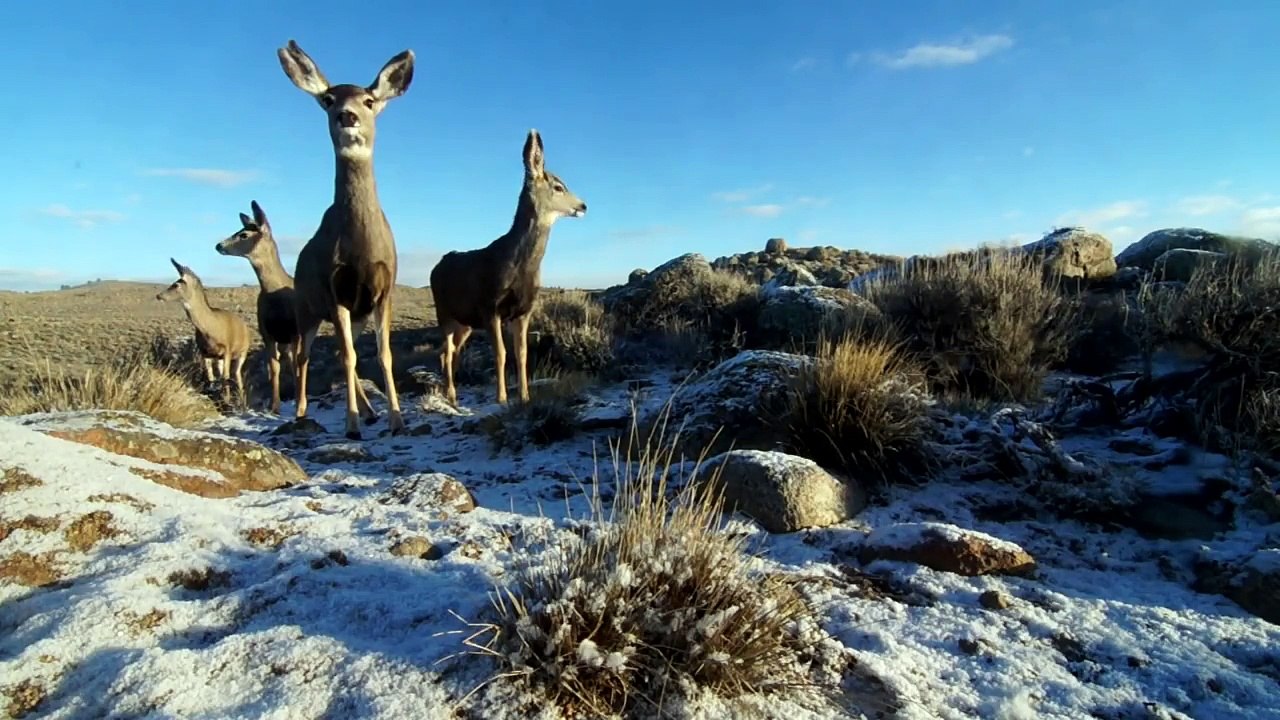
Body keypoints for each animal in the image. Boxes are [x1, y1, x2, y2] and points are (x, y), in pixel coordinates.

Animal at [156, 258, 252, 398]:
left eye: (177, 284)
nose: (159, 296)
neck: (210, 330)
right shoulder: (204, 351)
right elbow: (210, 376)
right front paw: (216, 395)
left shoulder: (227, 349)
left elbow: (226, 376)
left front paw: (227, 400)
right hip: (219, 357)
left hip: (243, 351)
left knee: (237, 374)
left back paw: (240, 398)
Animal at [276, 39, 414, 440]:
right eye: (328, 99)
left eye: (369, 100)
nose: (347, 116)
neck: (361, 249)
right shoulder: (335, 289)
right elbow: (350, 355)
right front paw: (351, 425)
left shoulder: (383, 290)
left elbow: (382, 355)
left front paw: (396, 419)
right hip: (307, 309)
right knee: (304, 356)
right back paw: (302, 411)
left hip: (354, 313)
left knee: (341, 354)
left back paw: (369, 412)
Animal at [429, 129, 587, 407]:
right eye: (558, 186)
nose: (583, 206)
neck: (518, 266)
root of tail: (436, 267)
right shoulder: (490, 307)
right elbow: (501, 353)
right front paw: (501, 398)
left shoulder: (523, 311)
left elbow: (521, 353)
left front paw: (524, 396)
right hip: (444, 312)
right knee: (446, 350)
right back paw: (451, 394)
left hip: (465, 322)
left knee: (450, 351)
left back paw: (452, 393)